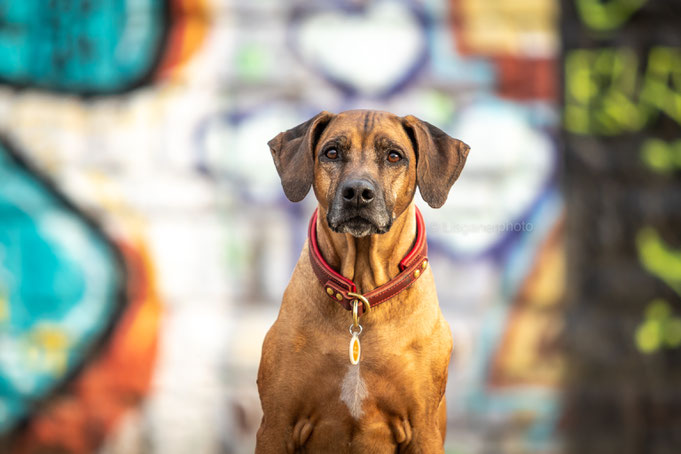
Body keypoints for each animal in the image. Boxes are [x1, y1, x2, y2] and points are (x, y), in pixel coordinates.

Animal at [255, 111, 468, 454]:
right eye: (331, 152)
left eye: (394, 156)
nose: (357, 192)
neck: (362, 294)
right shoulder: (277, 425)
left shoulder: (423, 431)